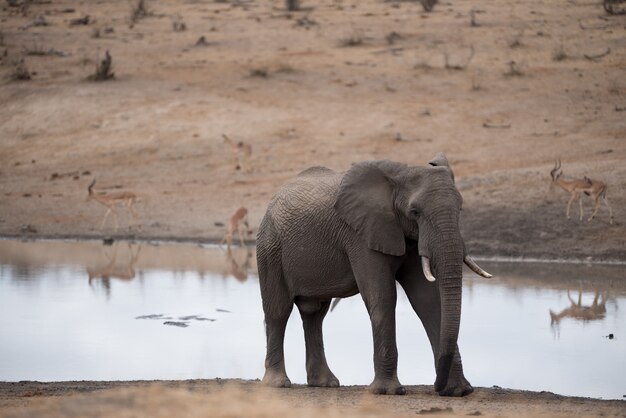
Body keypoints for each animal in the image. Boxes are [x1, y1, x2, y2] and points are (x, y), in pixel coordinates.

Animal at [256, 155, 490, 396]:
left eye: (460, 209)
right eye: (415, 212)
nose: (436, 386)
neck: (398, 177)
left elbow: (427, 300)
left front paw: (458, 391)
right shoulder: (360, 234)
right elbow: (382, 296)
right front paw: (388, 391)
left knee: (314, 314)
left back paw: (325, 383)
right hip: (270, 247)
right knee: (278, 310)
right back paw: (278, 383)